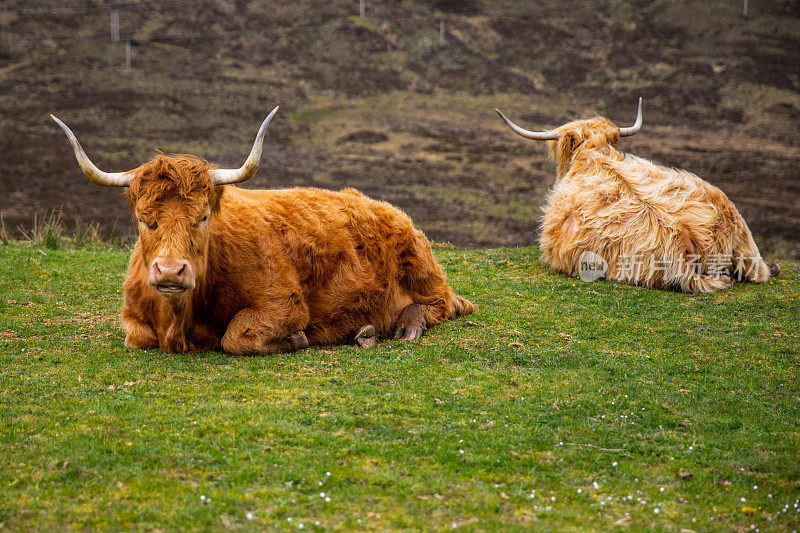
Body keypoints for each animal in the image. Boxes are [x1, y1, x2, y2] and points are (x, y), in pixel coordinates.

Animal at [53, 107, 472, 354]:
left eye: (202, 217)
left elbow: (236, 337)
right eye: (144, 218)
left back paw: (406, 326)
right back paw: (366, 331)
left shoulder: (283, 304)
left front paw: (295, 340)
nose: (171, 271)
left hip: (422, 267)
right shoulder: (133, 318)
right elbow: (139, 337)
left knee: (445, 304)